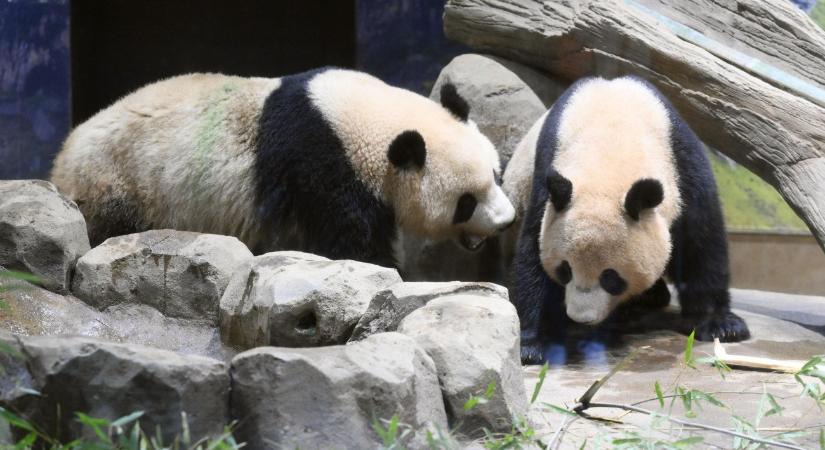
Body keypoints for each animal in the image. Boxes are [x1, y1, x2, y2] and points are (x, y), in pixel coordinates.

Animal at [51, 68, 516, 268]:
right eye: (465, 202)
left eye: (496, 176)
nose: (507, 220)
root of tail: (63, 155)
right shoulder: (320, 165)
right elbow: (350, 242)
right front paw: (387, 271)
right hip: (119, 180)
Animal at [503, 76, 750, 364]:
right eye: (565, 270)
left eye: (611, 277)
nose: (581, 317)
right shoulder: (548, 176)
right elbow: (533, 248)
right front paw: (531, 345)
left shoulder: (682, 161)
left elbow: (700, 241)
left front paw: (721, 325)